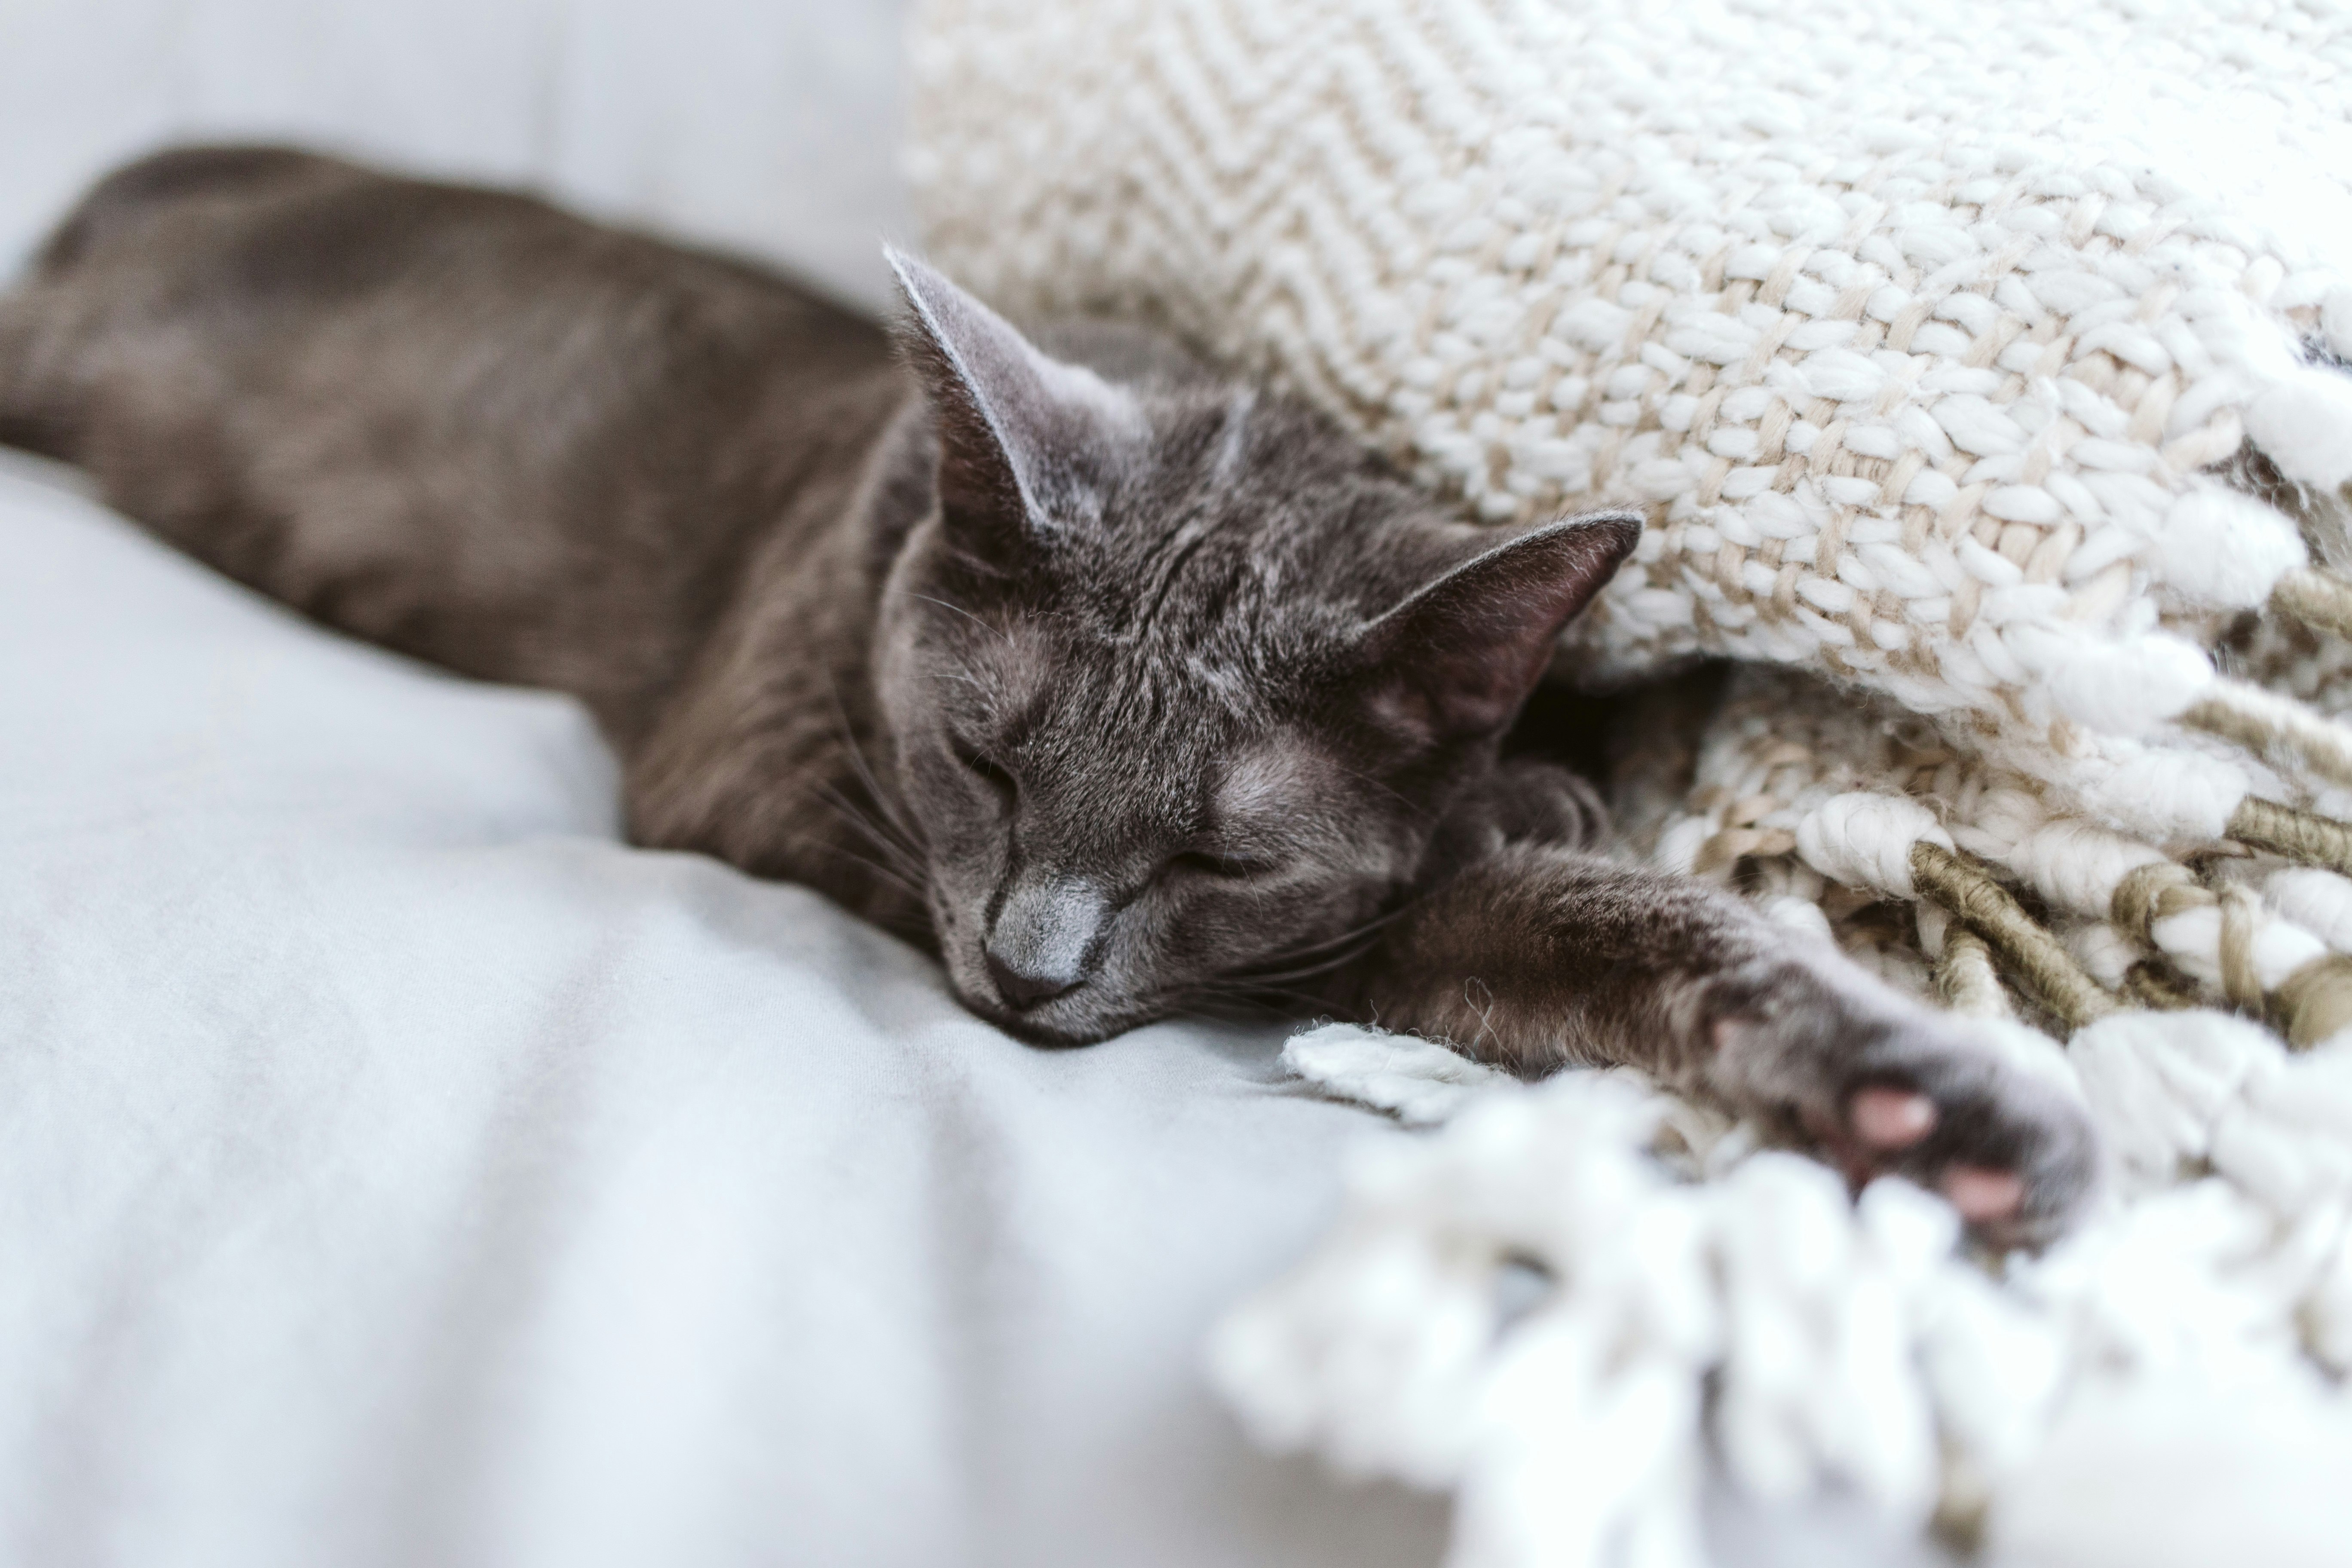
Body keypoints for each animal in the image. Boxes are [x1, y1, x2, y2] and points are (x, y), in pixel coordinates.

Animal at [0, 153, 2098, 1241]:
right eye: (981, 758)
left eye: (1216, 854)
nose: (1024, 969)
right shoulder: (759, 766)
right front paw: (1524, 801)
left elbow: (1603, 930)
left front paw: (1933, 1104)